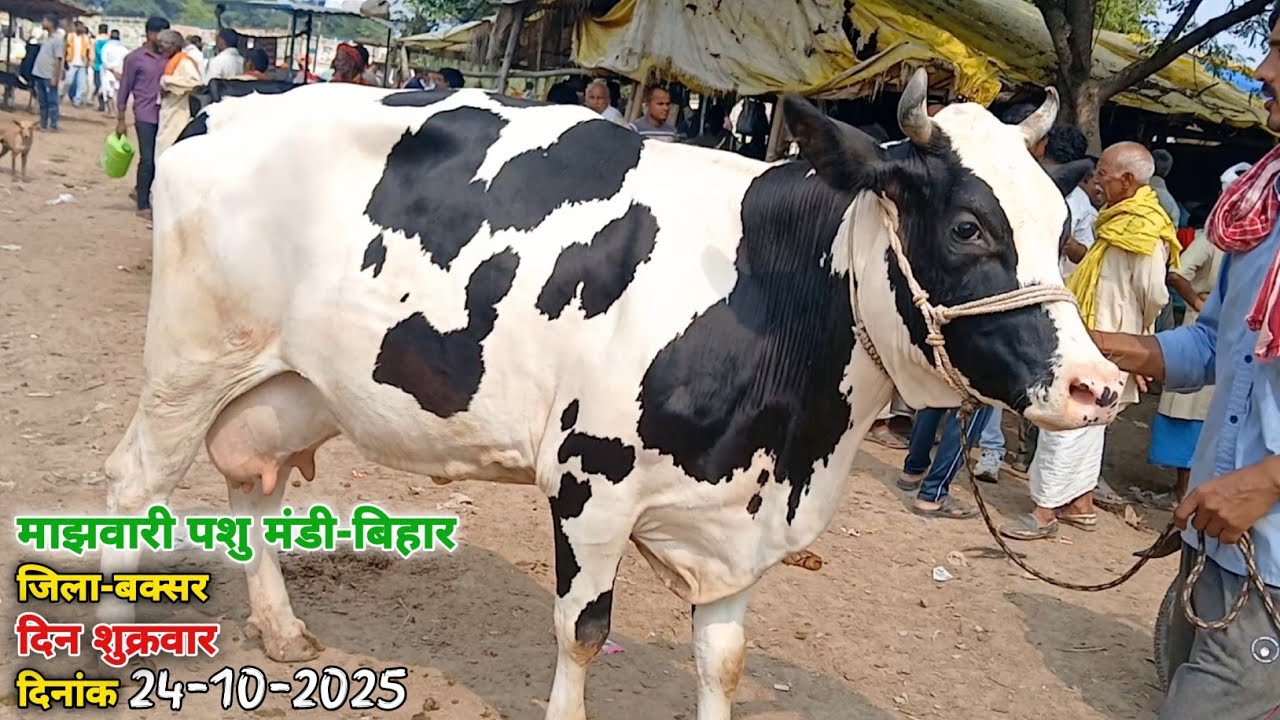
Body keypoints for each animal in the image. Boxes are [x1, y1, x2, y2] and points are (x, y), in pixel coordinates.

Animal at [98, 69, 1125, 720]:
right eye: (967, 227)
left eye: (1063, 235)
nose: (1102, 386)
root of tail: (235, 95)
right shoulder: (589, 484)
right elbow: (583, 633)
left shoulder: (738, 523)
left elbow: (725, 661)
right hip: (190, 359)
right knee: (133, 482)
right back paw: (116, 647)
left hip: (293, 380)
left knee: (255, 481)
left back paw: (279, 629)